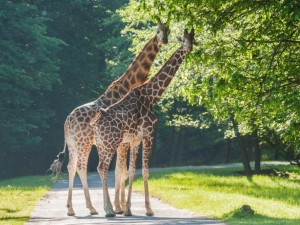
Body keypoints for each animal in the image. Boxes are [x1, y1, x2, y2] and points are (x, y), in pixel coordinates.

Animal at [49, 18, 171, 215]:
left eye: (168, 30)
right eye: (158, 30)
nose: (164, 40)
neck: (129, 85)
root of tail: (67, 122)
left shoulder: (124, 140)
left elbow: (121, 170)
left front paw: (119, 206)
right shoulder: (124, 140)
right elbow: (121, 170)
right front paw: (119, 206)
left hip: (74, 144)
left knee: (71, 166)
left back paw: (71, 209)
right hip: (84, 143)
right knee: (82, 167)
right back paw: (92, 208)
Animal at [89, 29, 199, 217]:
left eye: (193, 39)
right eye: (184, 40)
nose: (189, 48)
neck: (151, 96)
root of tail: (95, 124)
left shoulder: (135, 139)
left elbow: (133, 171)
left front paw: (128, 210)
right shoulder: (149, 135)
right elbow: (146, 172)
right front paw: (148, 209)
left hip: (102, 145)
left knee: (100, 168)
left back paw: (108, 208)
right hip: (111, 143)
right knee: (102, 168)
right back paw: (109, 210)